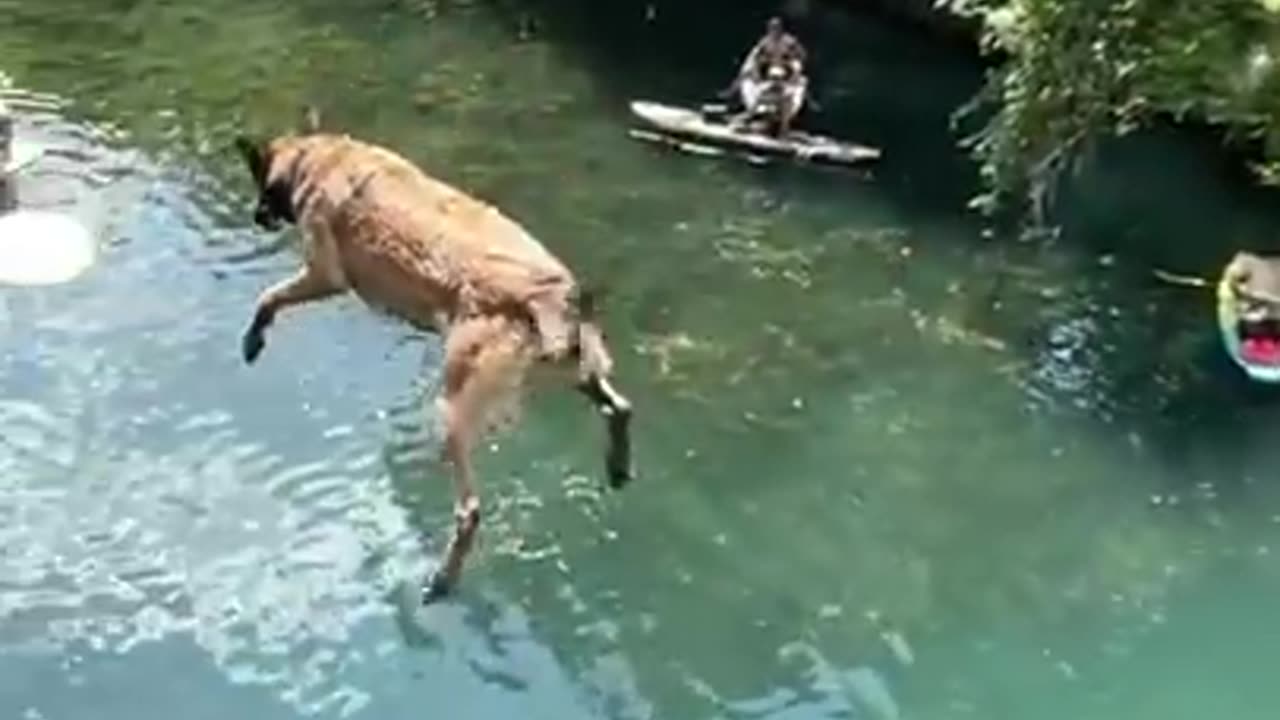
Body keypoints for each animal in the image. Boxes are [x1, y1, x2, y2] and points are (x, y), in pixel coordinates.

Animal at [232, 116, 632, 599]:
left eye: (258, 181)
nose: (256, 216)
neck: (317, 160)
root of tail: (553, 299)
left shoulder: (323, 275)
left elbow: (268, 298)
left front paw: (254, 339)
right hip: (574, 373)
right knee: (619, 407)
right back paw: (618, 467)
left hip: (453, 410)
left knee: (470, 510)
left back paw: (442, 581)